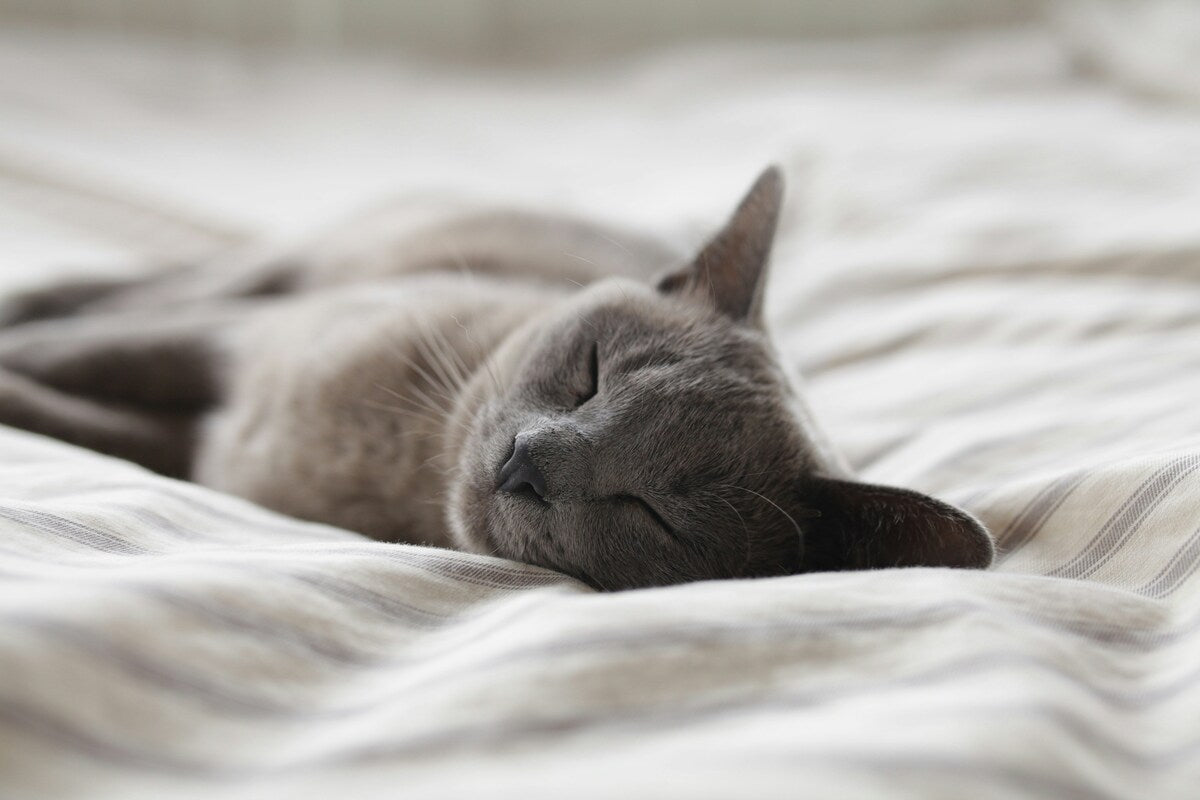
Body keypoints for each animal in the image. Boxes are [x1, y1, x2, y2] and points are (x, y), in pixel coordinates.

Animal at [0, 167, 993, 587]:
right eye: (589, 375)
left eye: (653, 512)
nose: (526, 464)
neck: (398, 465)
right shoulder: (233, 343)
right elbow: (80, 356)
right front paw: (19, 349)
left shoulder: (196, 444)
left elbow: (77, 417)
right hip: (283, 271)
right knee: (147, 285)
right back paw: (33, 294)